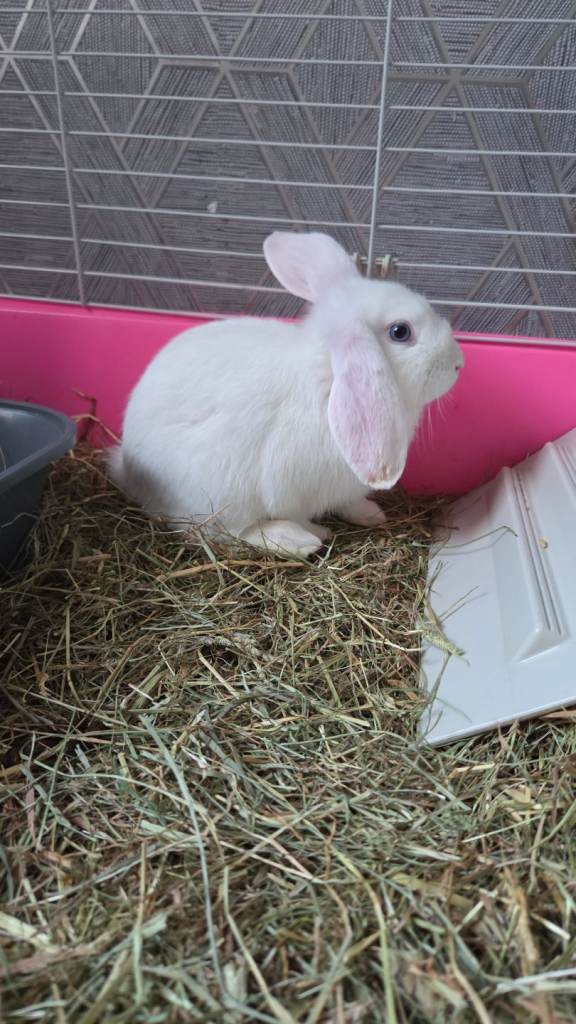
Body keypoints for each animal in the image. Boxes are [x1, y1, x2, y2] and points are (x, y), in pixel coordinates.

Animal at [108, 231, 464, 557]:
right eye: (400, 332)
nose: (459, 363)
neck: (329, 377)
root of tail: (127, 472)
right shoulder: (288, 489)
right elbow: (294, 513)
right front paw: (316, 532)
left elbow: (349, 503)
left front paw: (371, 514)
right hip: (218, 493)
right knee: (225, 532)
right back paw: (297, 540)